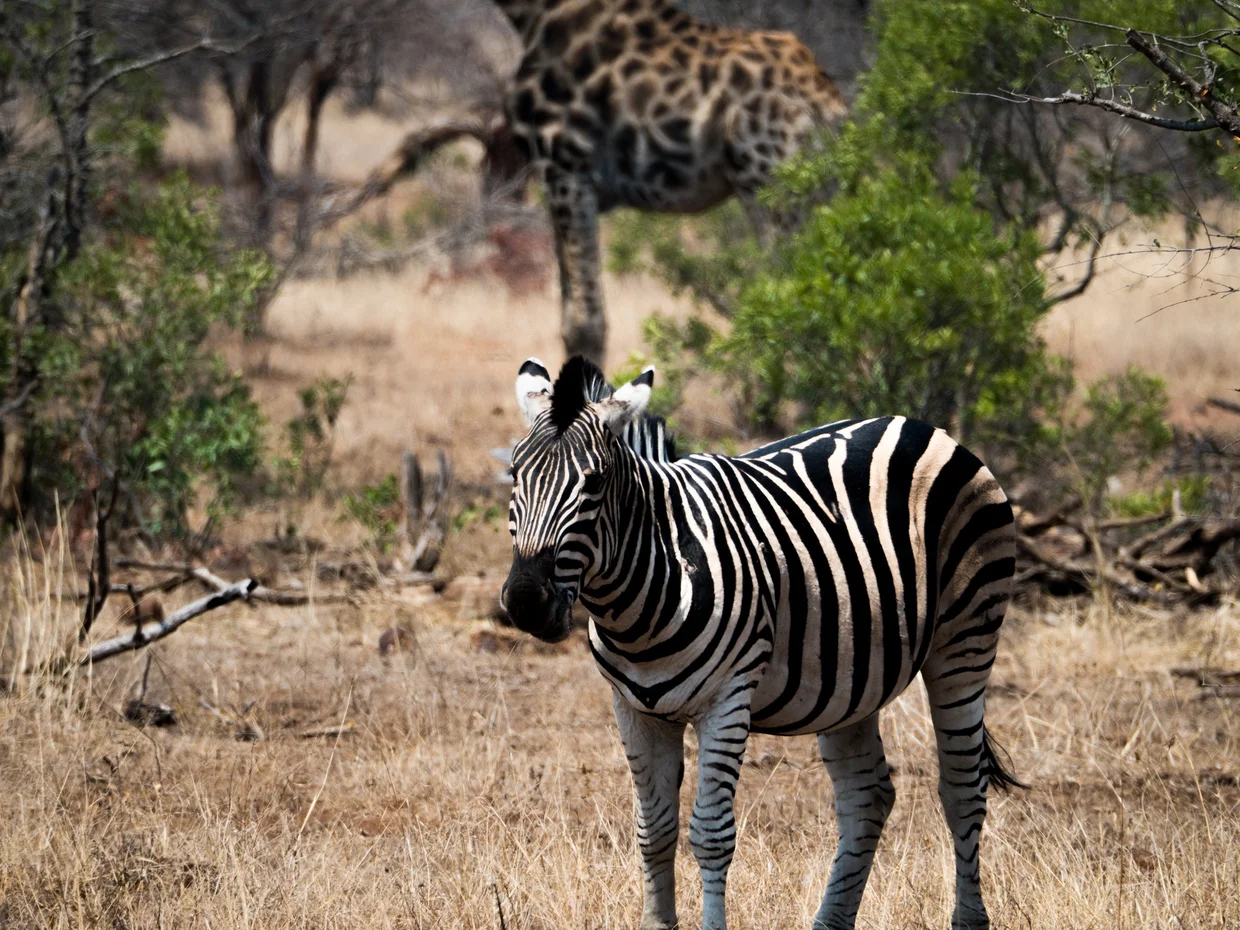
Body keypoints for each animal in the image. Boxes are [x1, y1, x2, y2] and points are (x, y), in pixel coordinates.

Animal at [493, 0, 847, 364]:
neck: (529, 14)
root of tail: (828, 105)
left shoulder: (566, 167)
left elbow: (583, 324)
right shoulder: (558, 181)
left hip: (771, 185)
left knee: (796, 303)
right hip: (819, 189)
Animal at [501, 356, 1022, 930]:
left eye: (593, 483)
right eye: (515, 474)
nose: (525, 602)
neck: (646, 594)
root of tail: (920, 426)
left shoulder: (728, 700)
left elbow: (709, 835)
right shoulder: (633, 709)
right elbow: (653, 831)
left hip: (965, 639)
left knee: (963, 788)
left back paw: (968, 917)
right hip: (851, 675)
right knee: (868, 796)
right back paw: (830, 923)